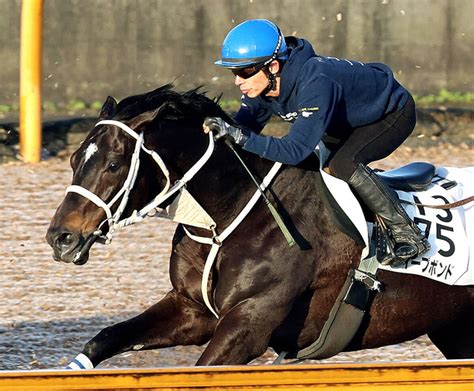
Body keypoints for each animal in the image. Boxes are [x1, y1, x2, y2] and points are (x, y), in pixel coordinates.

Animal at [47, 84, 474, 370]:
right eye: (73, 159)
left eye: (113, 164)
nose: (60, 237)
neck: (227, 217)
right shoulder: (191, 309)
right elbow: (104, 339)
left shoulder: (250, 320)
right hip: (453, 329)